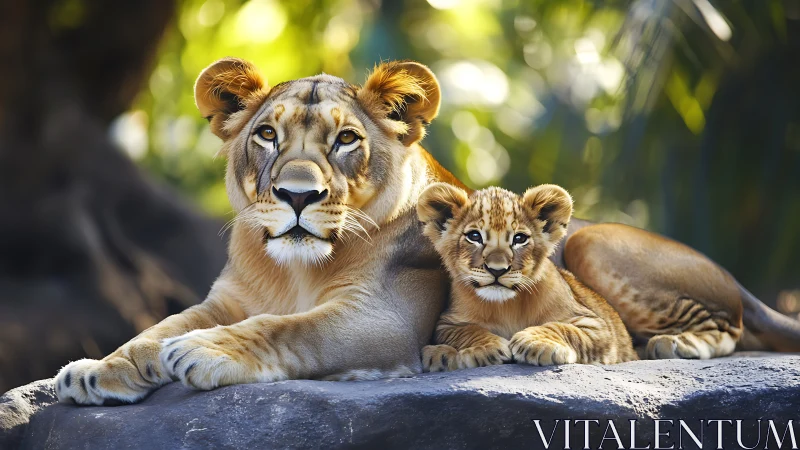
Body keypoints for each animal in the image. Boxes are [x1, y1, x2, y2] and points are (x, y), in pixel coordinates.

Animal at [417, 183, 637, 371]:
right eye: (474, 236)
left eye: (519, 238)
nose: (497, 270)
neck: (506, 307)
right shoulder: (446, 324)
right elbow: (467, 330)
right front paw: (484, 349)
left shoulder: (596, 325)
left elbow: (564, 328)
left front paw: (537, 342)